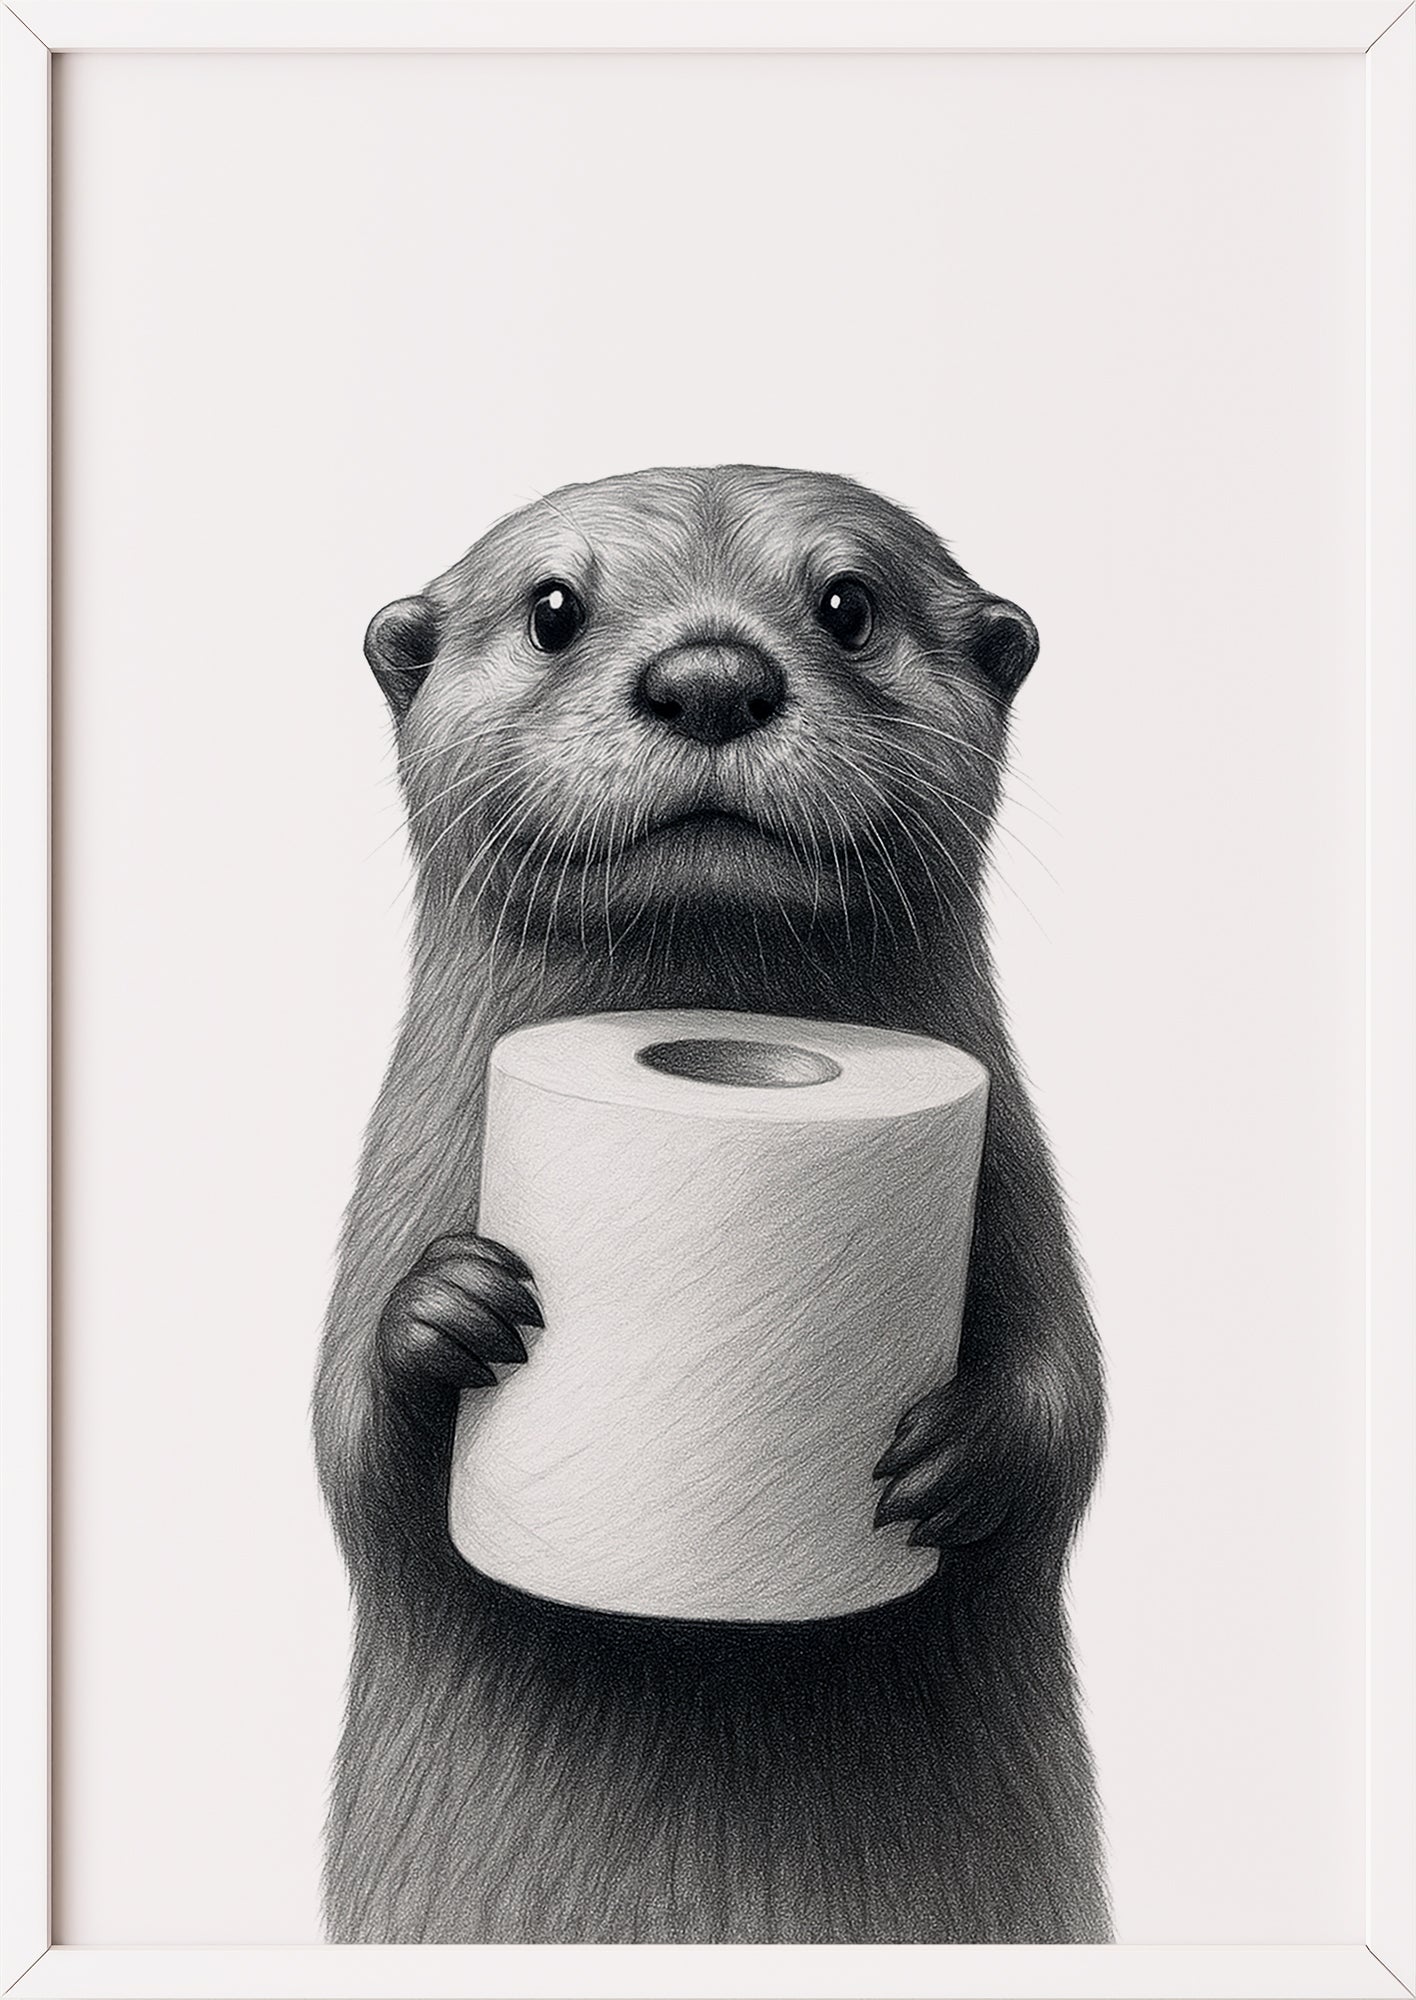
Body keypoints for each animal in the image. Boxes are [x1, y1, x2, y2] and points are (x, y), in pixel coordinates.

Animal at [314, 465, 1109, 1944]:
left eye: (849, 601)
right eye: (553, 606)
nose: (711, 676)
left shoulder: (1019, 1180)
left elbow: (1075, 1402)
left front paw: (957, 1449)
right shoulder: (396, 1176)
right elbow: (351, 1449)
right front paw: (446, 1312)